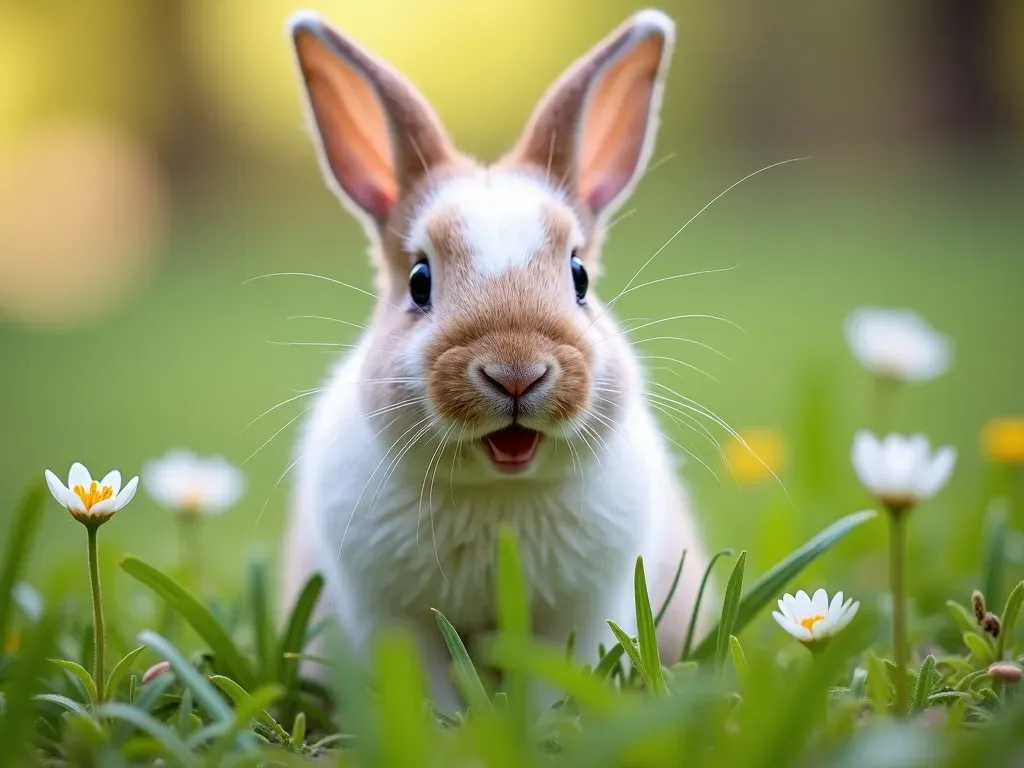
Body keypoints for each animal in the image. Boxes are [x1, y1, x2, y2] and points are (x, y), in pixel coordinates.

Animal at [280, 7, 712, 716]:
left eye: (579, 276)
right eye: (419, 282)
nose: (515, 372)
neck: (497, 493)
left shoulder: (578, 612)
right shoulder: (393, 614)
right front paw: (449, 725)